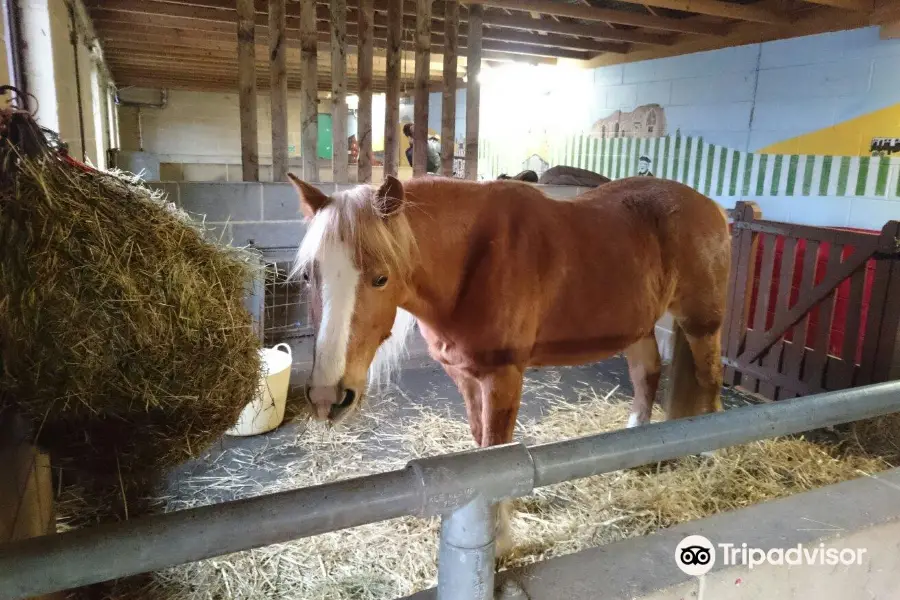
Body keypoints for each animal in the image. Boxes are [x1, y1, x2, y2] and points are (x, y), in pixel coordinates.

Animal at [288, 171, 732, 552]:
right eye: (309, 276)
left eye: (381, 278)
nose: (329, 396)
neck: (473, 260)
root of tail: (711, 204)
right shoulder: (465, 375)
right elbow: (479, 442)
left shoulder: (503, 377)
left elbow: (496, 449)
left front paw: (498, 539)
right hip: (639, 326)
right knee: (646, 374)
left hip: (702, 323)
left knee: (709, 376)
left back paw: (713, 452)